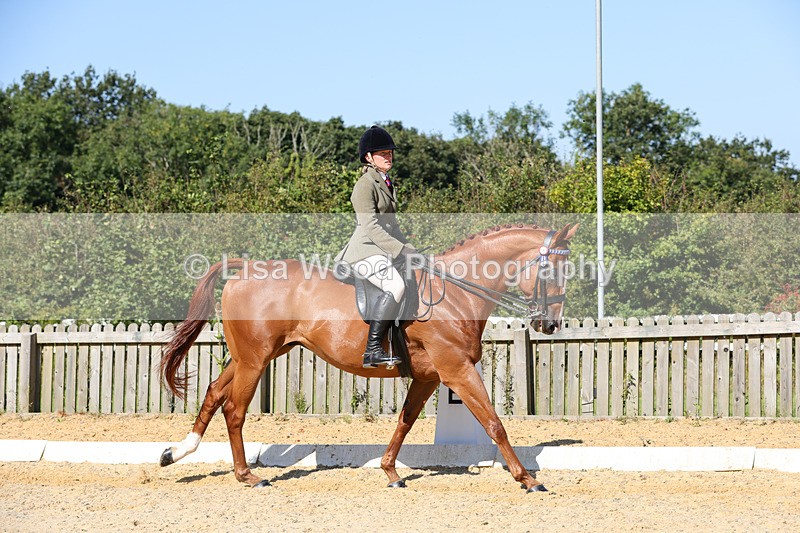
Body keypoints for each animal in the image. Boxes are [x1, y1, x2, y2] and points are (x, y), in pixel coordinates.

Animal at [159, 223, 578, 492]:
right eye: (552, 270)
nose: (550, 324)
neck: (456, 293)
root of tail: (245, 268)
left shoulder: (428, 377)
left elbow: (405, 422)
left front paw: (391, 472)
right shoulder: (457, 370)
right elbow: (494, 424)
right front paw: (527, 478)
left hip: (254, 355)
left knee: (214, 392)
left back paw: (177, 452)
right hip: (255, 360)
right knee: (234, 409)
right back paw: (247, 475)